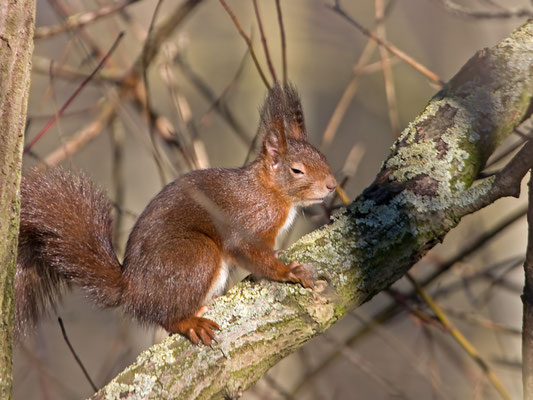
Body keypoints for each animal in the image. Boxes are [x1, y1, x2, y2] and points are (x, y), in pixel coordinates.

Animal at [16, 83, 336, 346]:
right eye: (297, 170)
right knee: (167, 317)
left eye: (323, 156)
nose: (332, 185)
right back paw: (190, 322)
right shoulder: (249, 222)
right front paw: (289, 272)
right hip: (195, 255)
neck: (272, 192)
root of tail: (133, 290)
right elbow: (251, 252)